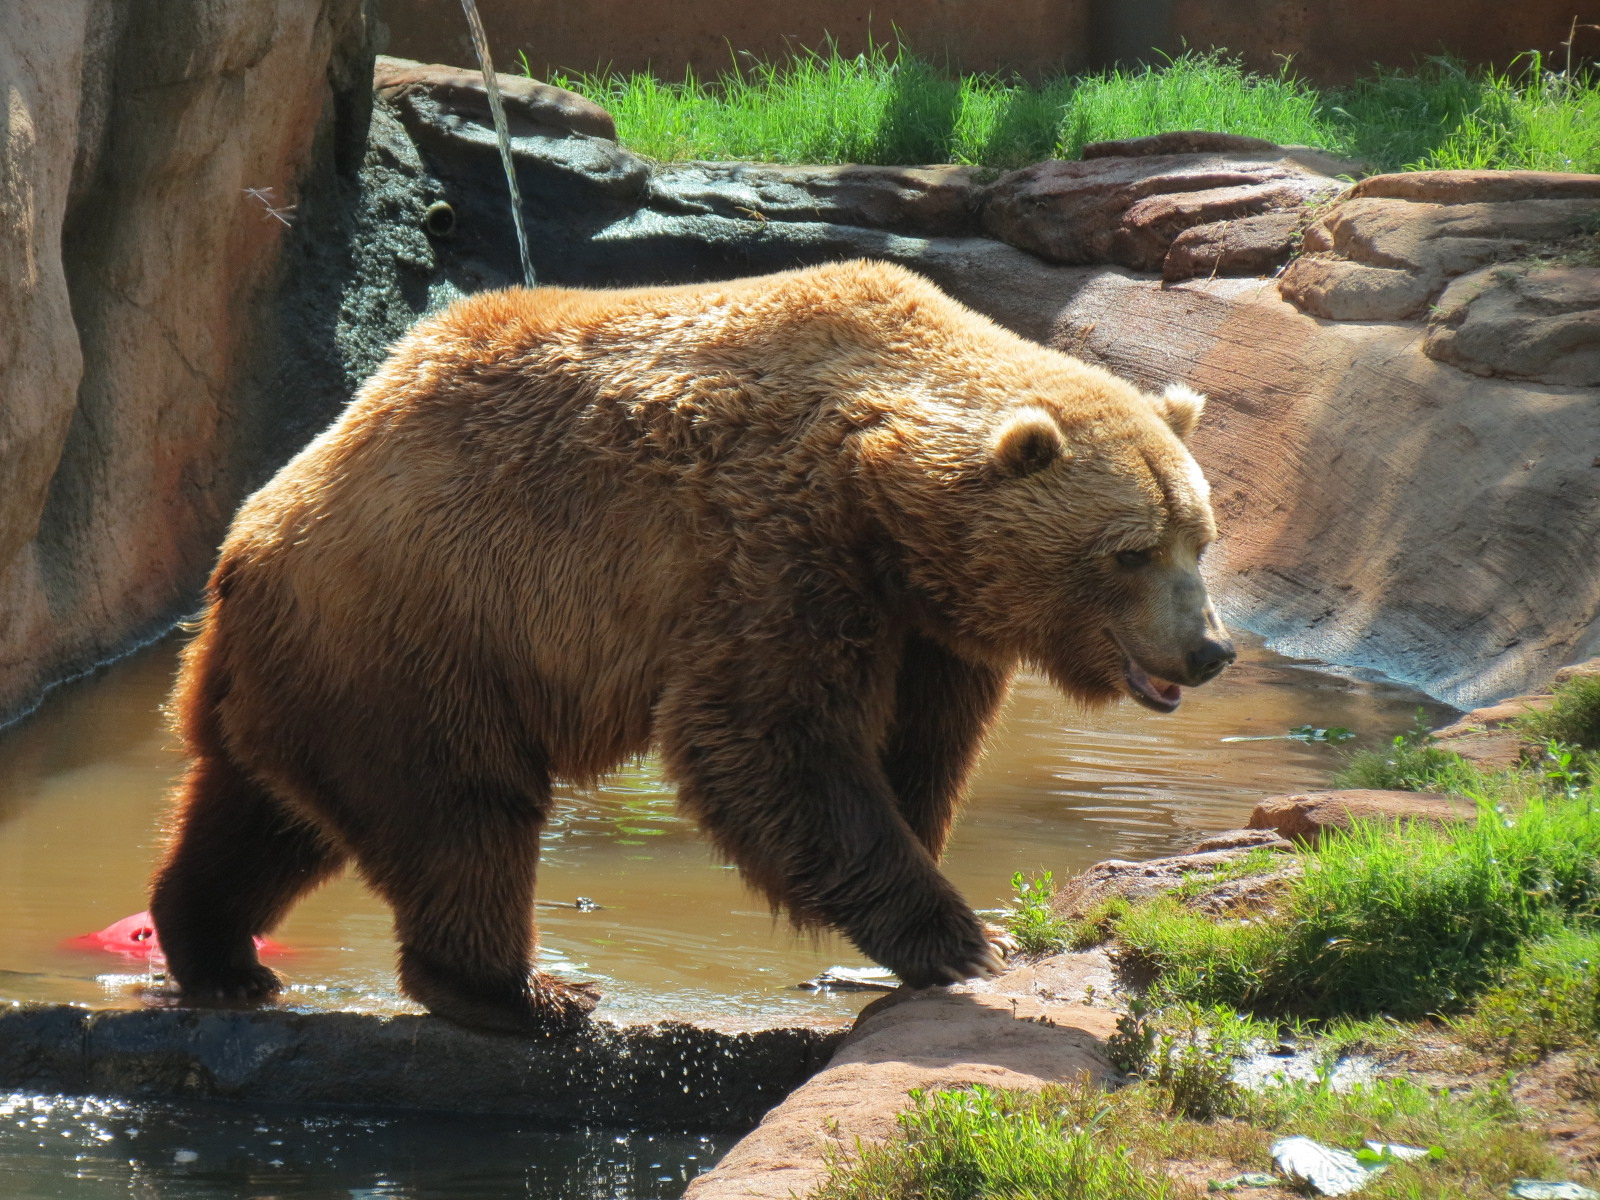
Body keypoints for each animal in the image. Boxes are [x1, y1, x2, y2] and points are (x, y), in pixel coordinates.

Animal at [149, 259, 1234, 1034]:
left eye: (1200, 536)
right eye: (1132, 550)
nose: (1209, 649)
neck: (888, 505)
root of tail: (245, 543)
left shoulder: (927, 622)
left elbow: (918, 749)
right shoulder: (772, 544)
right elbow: (766, 737)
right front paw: (957, 937)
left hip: (315, 669)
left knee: (265, 816)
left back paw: (217, 953)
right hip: (425, 631)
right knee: (461, 812)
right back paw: (519, 991)